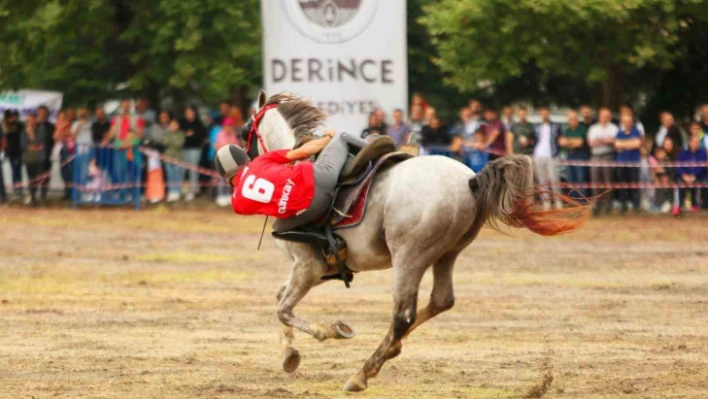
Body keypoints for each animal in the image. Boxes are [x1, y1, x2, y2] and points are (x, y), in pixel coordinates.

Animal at [243, 91, 588, 394]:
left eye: (247, 128)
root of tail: (470, 180)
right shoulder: (320, 269)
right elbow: (281, 299)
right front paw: (290, 354)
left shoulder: (308, 265)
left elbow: (283, 309)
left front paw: (326, 332)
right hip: (446, 254)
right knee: (441, 301)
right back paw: (391, 349)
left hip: (409, 258)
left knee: (403, 315)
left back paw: (362, 373)